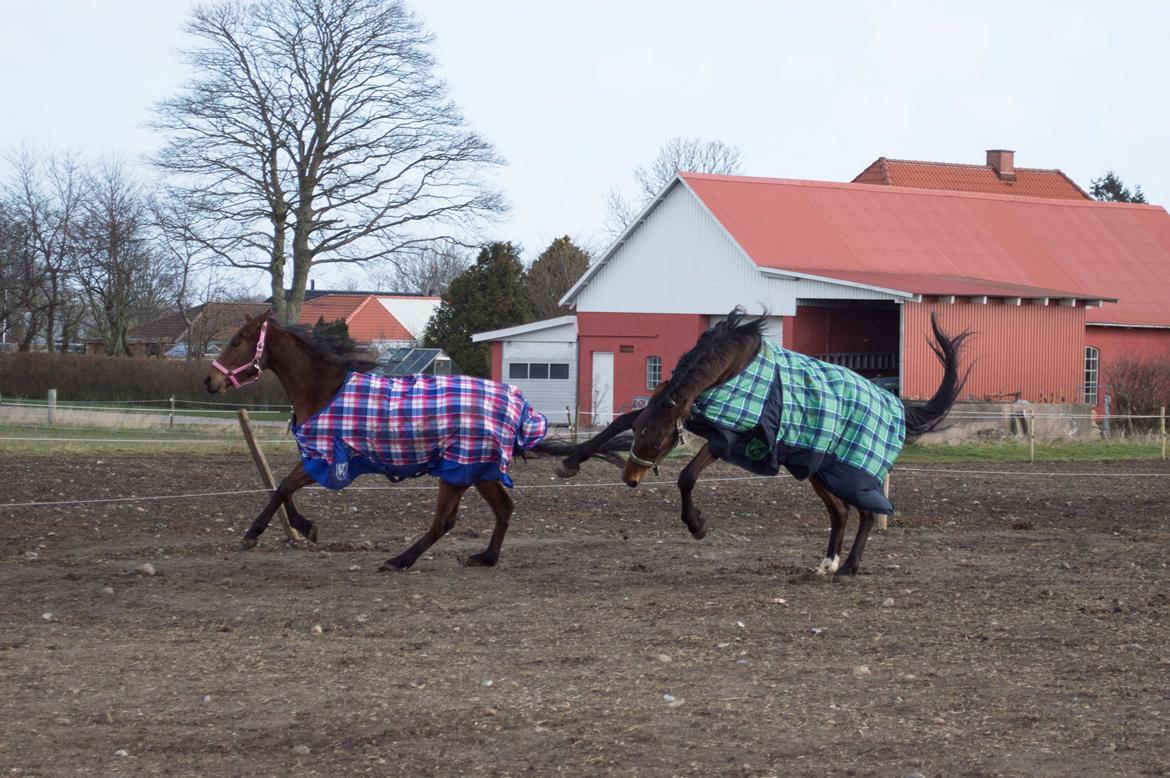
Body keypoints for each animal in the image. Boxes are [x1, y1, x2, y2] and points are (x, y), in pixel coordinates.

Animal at [205, 308, 627, 570]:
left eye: (238, 341)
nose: (209, 380)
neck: (325, 389)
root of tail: (517, 410)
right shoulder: (320, 459)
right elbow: (282, 488)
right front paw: (303, 527)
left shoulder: (326, 459)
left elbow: (282, 487)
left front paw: (259, 534)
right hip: (480, 471)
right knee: (503, 510)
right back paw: (483, 557)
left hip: (460, 469)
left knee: (445, 522)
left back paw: (400, 560)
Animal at [559, 308, 968, 575]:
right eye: (644, 438)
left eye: (658, 444)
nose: (630, 479)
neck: (732, 367)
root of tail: (895, 404)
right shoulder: (697, 416)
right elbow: (622, 422)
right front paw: (571, 461)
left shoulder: (730, 436)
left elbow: (687, 477)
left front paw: (697, 525)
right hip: (819, 471)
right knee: (841, 513)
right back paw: (827, 563)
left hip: (849, 473)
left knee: (867, 512)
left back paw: (849, 566)